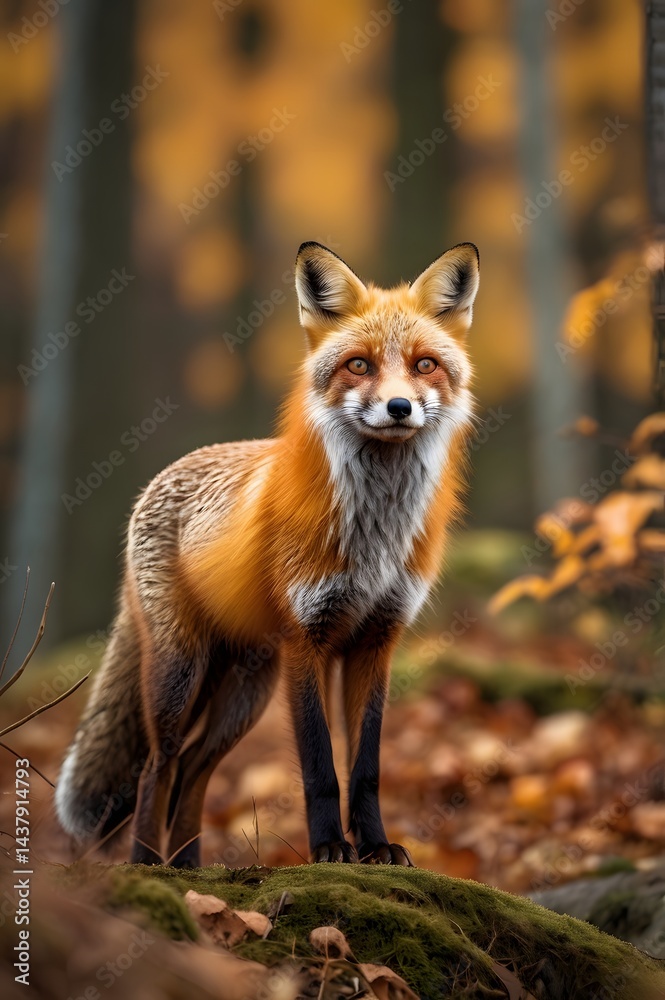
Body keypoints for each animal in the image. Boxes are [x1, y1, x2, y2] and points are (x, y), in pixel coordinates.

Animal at [55, 240, 479, 868]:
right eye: (359, 365)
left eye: (425, 364)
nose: (400, 406)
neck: (375, 537)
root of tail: (160, 477)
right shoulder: (307, 639)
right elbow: (320, 768)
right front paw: (329, 848)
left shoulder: (376, 642)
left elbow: (366, 768)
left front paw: (375, 847)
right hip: (182, 673)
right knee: (158, 765)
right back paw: (148, 866)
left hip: (244, 690)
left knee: (194, 769)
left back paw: (191, 866)